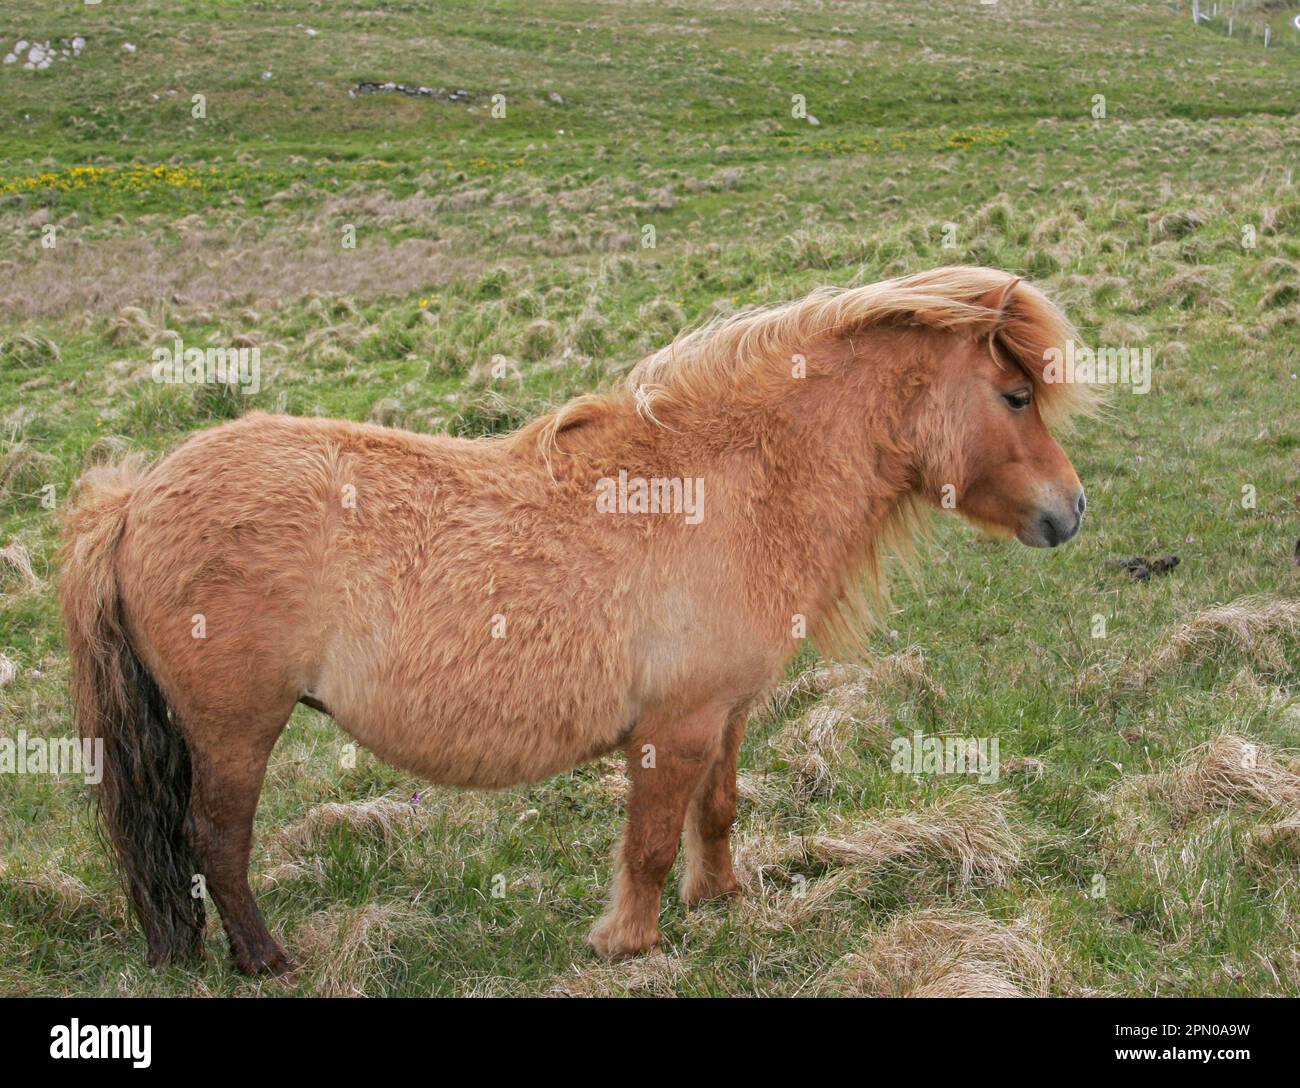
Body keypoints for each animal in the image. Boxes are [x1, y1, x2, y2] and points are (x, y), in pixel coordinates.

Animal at [60, 265, 1095, 975]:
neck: (727, 487)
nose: (1072, 511)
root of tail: (137, 497)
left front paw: (720, 898)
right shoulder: (674, 725)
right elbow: (648, 840)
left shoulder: (725, 713)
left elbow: (716, 811)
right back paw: (267, 960)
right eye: (1014, 396)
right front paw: (628, 944)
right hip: (236, 728)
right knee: (216, 842)